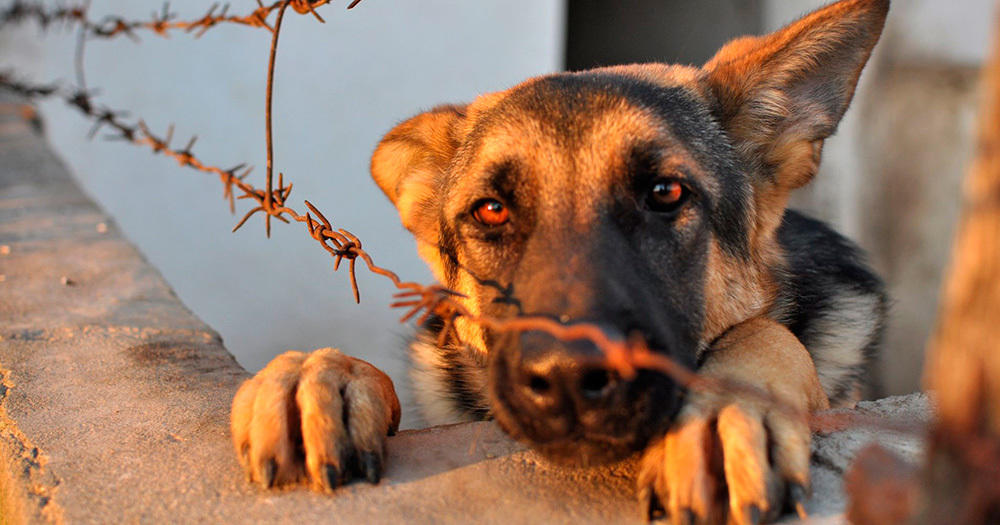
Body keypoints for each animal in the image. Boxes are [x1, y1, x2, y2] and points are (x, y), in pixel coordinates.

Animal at [232, 1, 892, 520]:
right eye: (491, 210)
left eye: (665, 193)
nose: (570, 378)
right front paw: (318, 371)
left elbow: (763, 335)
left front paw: (726, 407)